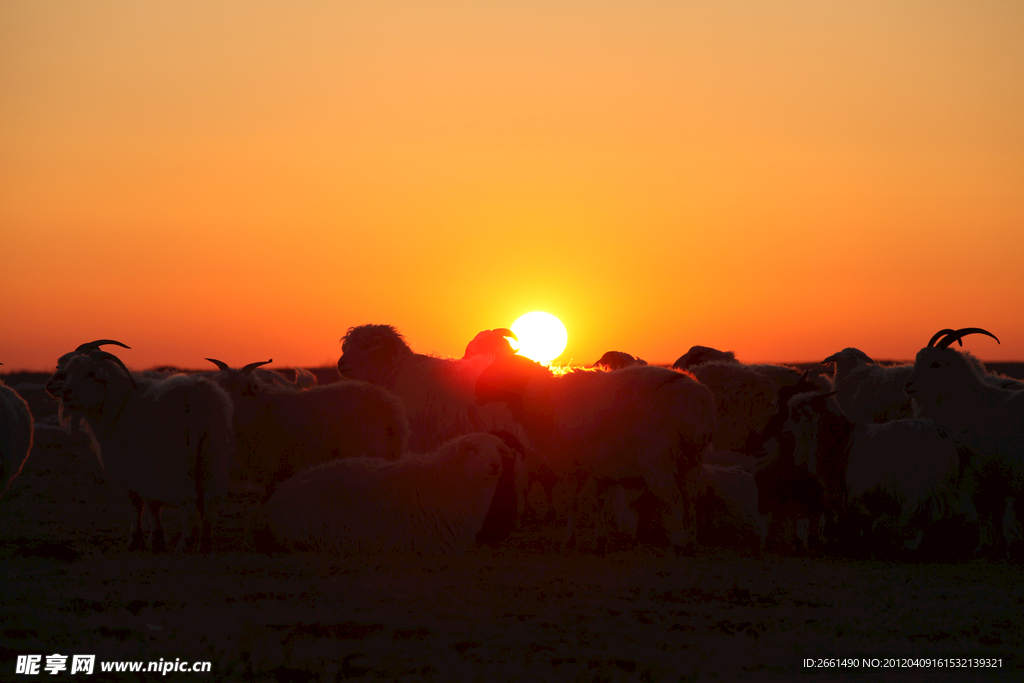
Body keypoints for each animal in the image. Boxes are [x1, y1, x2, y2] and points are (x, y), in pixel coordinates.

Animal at [55, 350, 234, 552]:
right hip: (212, 455)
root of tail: (199, 397)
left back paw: (184, 543)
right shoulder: (148, 472)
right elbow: (152, 505)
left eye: (90, 373)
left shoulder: (132, 470)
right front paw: (156, 539)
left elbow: (137, 504)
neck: (119, 405)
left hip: (177, 462)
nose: (66, 393)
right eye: (67, 373)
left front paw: (138, 540)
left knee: (188, 501)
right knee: (210, 499)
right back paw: (204, 544)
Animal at [203, 358, 411, 497]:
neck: (263, 410)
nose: (226, 405)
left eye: (245, 390)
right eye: (221, 386)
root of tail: (389, 405)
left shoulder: (274, 467)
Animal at [475, 358, 716, 557]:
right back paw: (692, 543)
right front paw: (599, 542)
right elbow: (597, 504)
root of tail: (698, 401)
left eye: (503, 369)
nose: (477, 391)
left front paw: (569, 541)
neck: (542, 397)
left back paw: (678, 544)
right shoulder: (601, 468)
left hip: (658, 461)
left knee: (673, 498)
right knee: (691, 497)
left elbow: (573, 504)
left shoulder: (572, 466)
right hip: (692, 461)